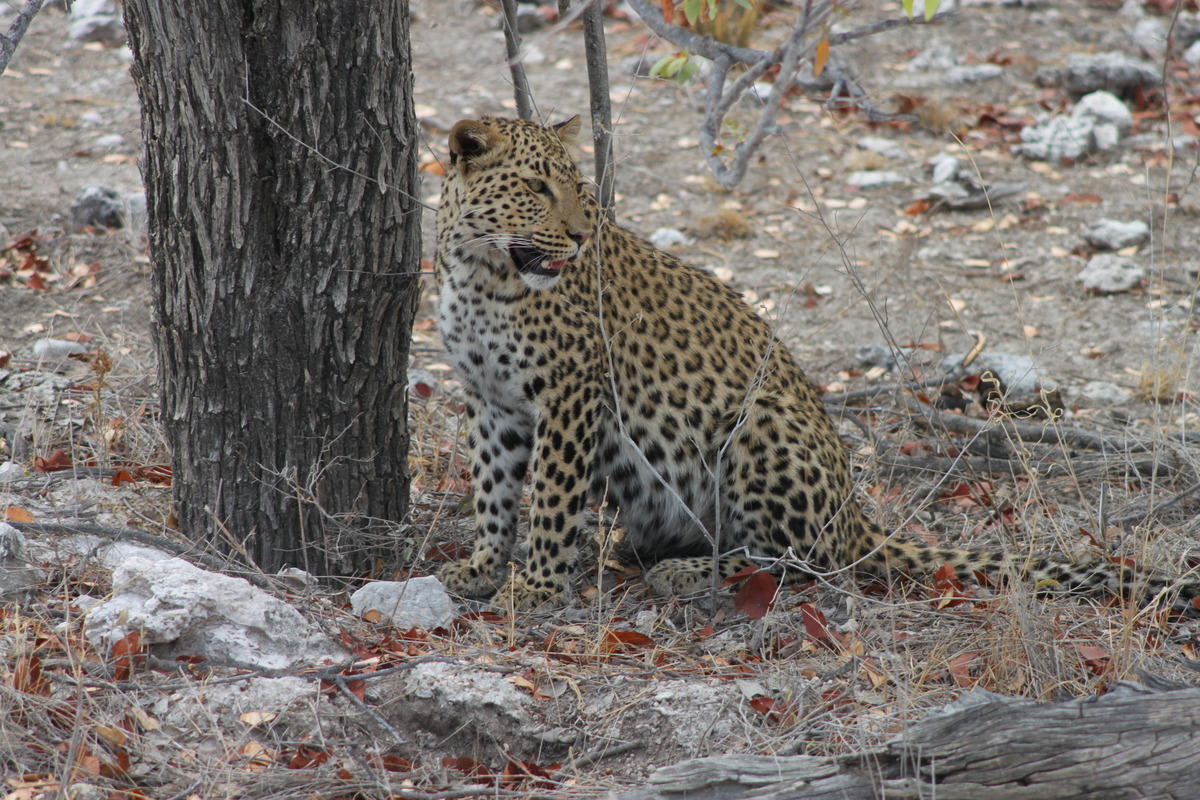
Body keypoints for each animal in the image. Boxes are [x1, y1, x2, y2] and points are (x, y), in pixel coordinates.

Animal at [433, 114, 1199, 614]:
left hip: (758, 426)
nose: (577, 233)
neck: (477, 271)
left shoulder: (568, 393)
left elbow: (550, 495)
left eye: (576, 186)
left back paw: (689, 574)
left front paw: (535, 586)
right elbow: (493, 489)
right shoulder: (491, 400)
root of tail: (856, 512)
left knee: (800, 559)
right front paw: (482, 567)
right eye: (536, 187)